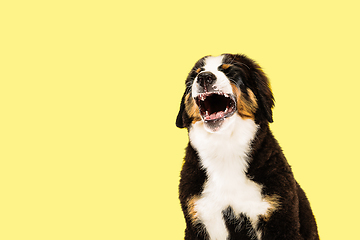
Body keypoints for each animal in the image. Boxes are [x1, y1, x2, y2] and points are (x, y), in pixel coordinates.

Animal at [176, 54, 320, 240]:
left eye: (230, 71)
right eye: (195, 75)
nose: (204, 77)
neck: (225, 149)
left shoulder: (279, 216)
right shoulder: (197, 218)